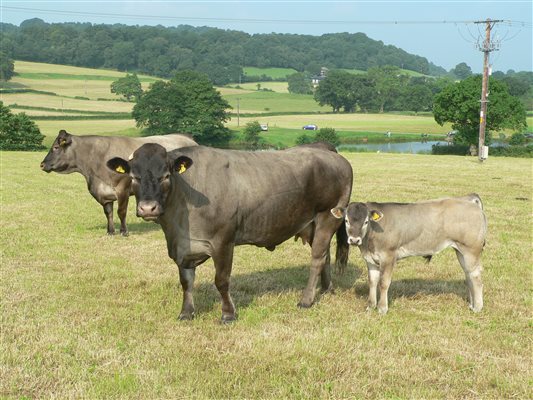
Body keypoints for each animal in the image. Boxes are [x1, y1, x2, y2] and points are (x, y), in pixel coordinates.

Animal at [40, 130, 196, 234]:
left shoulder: (123, 188)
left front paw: (124, 231)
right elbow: (108, 212)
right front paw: (110, 231)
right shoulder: (104, 193)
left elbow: (121, 211)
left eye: (55, 147)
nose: (42, 164)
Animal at [105, 144, 352, 322]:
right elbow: (186, 281)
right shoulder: (183, 246)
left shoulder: (223, 241)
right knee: (325, 256)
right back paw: (327, 289)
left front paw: (228, 314)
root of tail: (326, 150)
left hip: (328, 216)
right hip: (311, 224)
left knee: (317, 258)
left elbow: (221, 280)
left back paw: (306, 300)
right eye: (134, 177)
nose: (148, 208)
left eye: (165, 175)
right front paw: (186, 312)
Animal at [330, 195, 488, 314]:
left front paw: (382, 308)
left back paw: (478, 307)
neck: (369, 241)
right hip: (461, 251)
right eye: (346, 220)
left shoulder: (388, 256)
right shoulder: (370, 259)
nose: (354, 240)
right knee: (468, 275)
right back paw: (472, 304)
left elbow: (383, 282)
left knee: (476, 278)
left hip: (471, 249)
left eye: (366, 221)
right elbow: (373, 282)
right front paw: (370, 306)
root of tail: (468, 199)